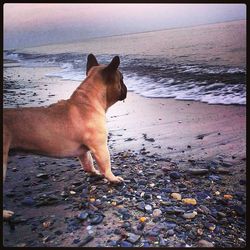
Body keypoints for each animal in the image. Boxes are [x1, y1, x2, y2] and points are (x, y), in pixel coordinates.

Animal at [2, 54, 127, 219]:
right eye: (121, 78)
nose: (126, 88)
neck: (88, 101)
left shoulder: (84, 152)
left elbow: (88, 163)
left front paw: (94, 173)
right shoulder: (100, 147)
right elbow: (106, 165)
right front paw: (113, 178)